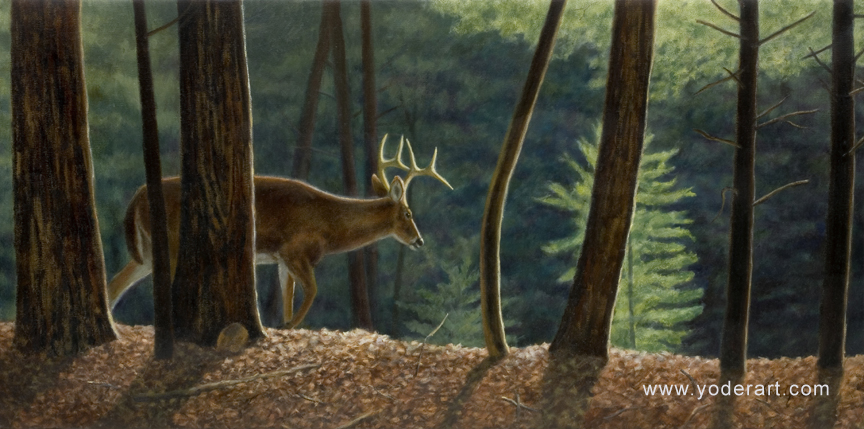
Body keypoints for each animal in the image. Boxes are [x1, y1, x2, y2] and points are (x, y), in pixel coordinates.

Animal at [107, 135, 452, 329]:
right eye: (408, 213)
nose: (420, 241)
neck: (329, 225)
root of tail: (137, 196)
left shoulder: (282, 260)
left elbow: (288, 296)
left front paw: (284, 324)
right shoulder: (295, 250)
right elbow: (312, 291)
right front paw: (290, 326)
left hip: (146, 251)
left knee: (114, 284)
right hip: (173, 243)